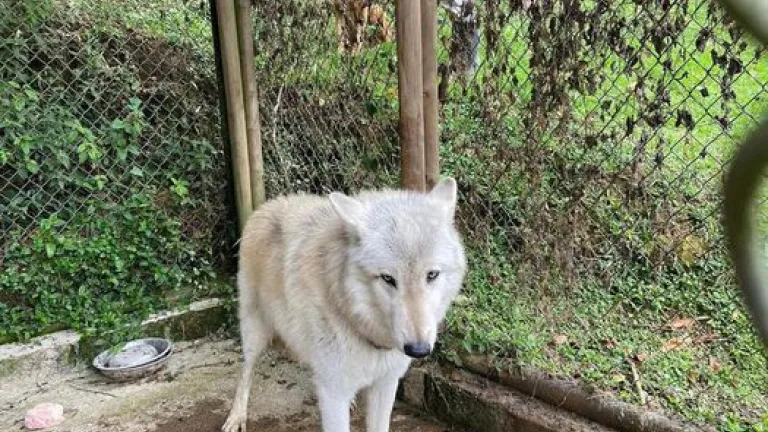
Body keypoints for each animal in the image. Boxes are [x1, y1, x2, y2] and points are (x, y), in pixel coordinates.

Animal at [222, 178, 467, 432]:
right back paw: (236, 417)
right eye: (388, 278)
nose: (418, 350)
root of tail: (267, 205)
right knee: (246, 372)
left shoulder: (385, 383)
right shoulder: (334, 392)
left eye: (432, 275)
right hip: (254, 334)